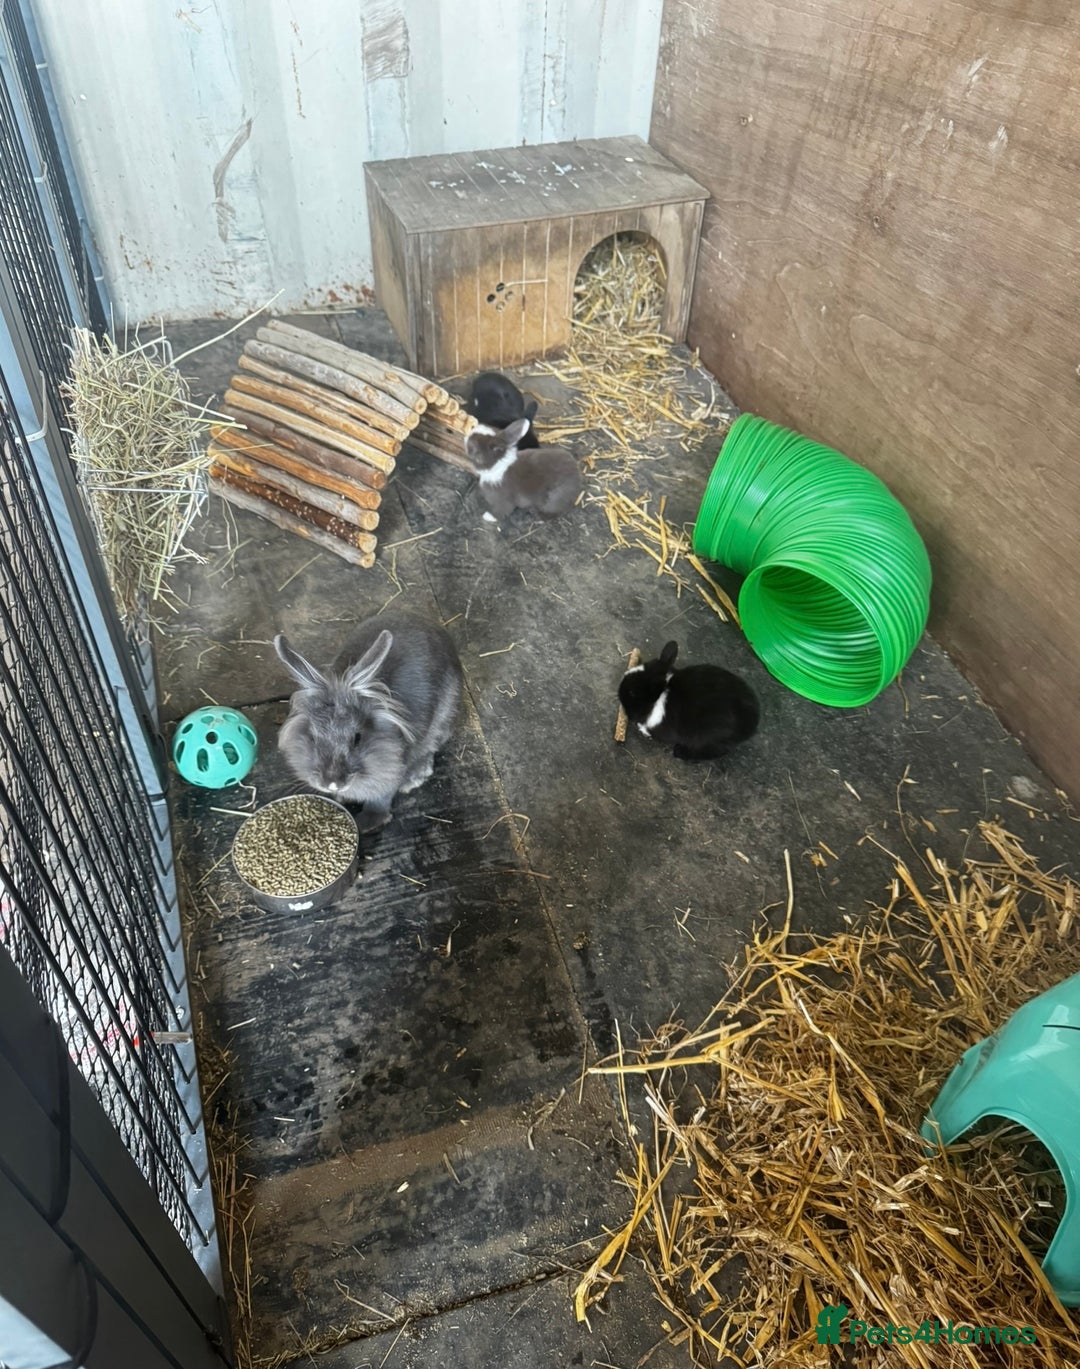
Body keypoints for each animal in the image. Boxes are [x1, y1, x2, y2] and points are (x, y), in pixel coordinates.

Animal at [273, 611, 463, 832]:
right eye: (312, 738)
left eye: (357, 738)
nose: (332, 783)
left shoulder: (389, 773)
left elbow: (381, 799)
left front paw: (367, 822)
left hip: (443, 721)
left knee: (429, 749)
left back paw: (414, 778)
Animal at [618, 640, 759, 762]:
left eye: (632, 693)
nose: (619, 692)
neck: (660, 694)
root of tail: (752, 724)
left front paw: (642, 729)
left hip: (710, 739)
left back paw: (680, 753)